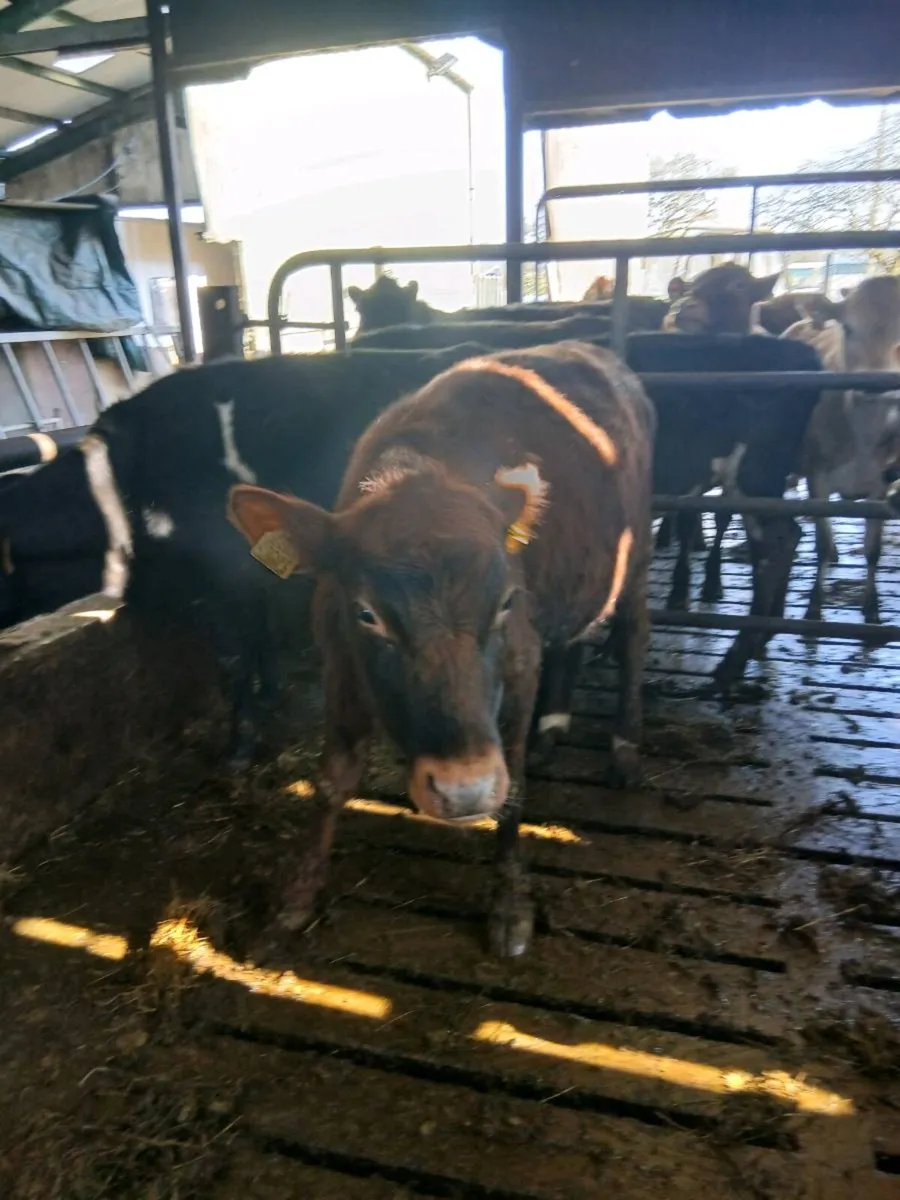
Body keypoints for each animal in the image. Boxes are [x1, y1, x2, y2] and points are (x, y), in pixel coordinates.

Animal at [228, 341, 655, 957]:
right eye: (367, 613)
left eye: (505, 602)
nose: (465, 789)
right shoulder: (341, 664)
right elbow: (331, 782)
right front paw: (294, 899)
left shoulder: (520, 662)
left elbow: (514, 787)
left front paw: (509, 904)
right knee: (573, 639)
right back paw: (553, 729)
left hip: (637, 553)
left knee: (633, 638)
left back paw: (624, 747)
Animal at [783, 275, 900, 624]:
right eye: (847, 327)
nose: (875, 383)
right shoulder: (818, 476)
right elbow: (821, 541)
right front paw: (813, 607)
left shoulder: (881, 485)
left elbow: (873, 548)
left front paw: (872, 607)